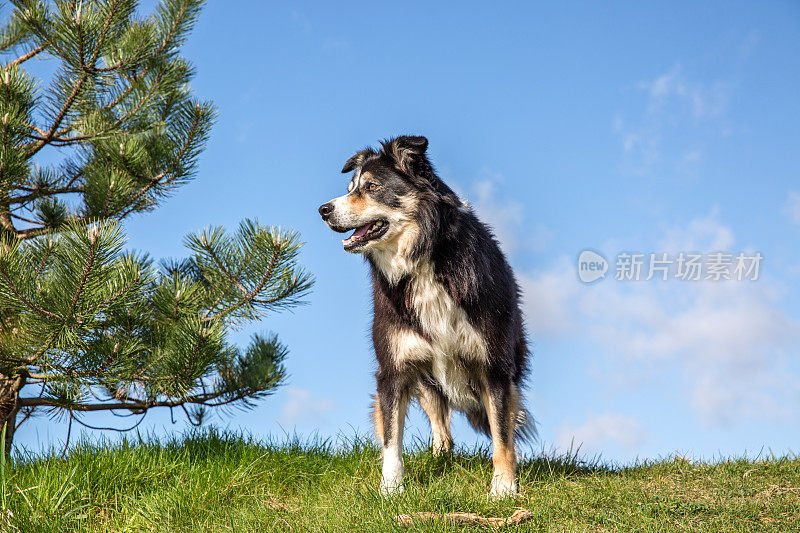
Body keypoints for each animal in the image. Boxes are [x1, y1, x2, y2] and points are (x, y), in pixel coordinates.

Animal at [318, 135, 532, 496]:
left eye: (371, 187)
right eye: (350, 188)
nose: (323, 210)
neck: (422, 260)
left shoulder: (494, 366)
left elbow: (502, 435)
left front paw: (503, 488)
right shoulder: (394, 368)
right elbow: (392, 438)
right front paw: (391, 491)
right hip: (425, 376)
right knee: (439, 423)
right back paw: (440, 458)